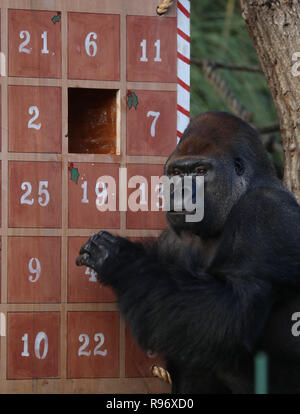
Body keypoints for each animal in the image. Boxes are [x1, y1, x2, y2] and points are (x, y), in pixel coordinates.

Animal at [75, 111, 300, 392]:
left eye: (201, 171)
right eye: (176, 173)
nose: (179, 191)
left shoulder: (266, 215)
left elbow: (228, 315)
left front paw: (119, 259)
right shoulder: (171, 240)